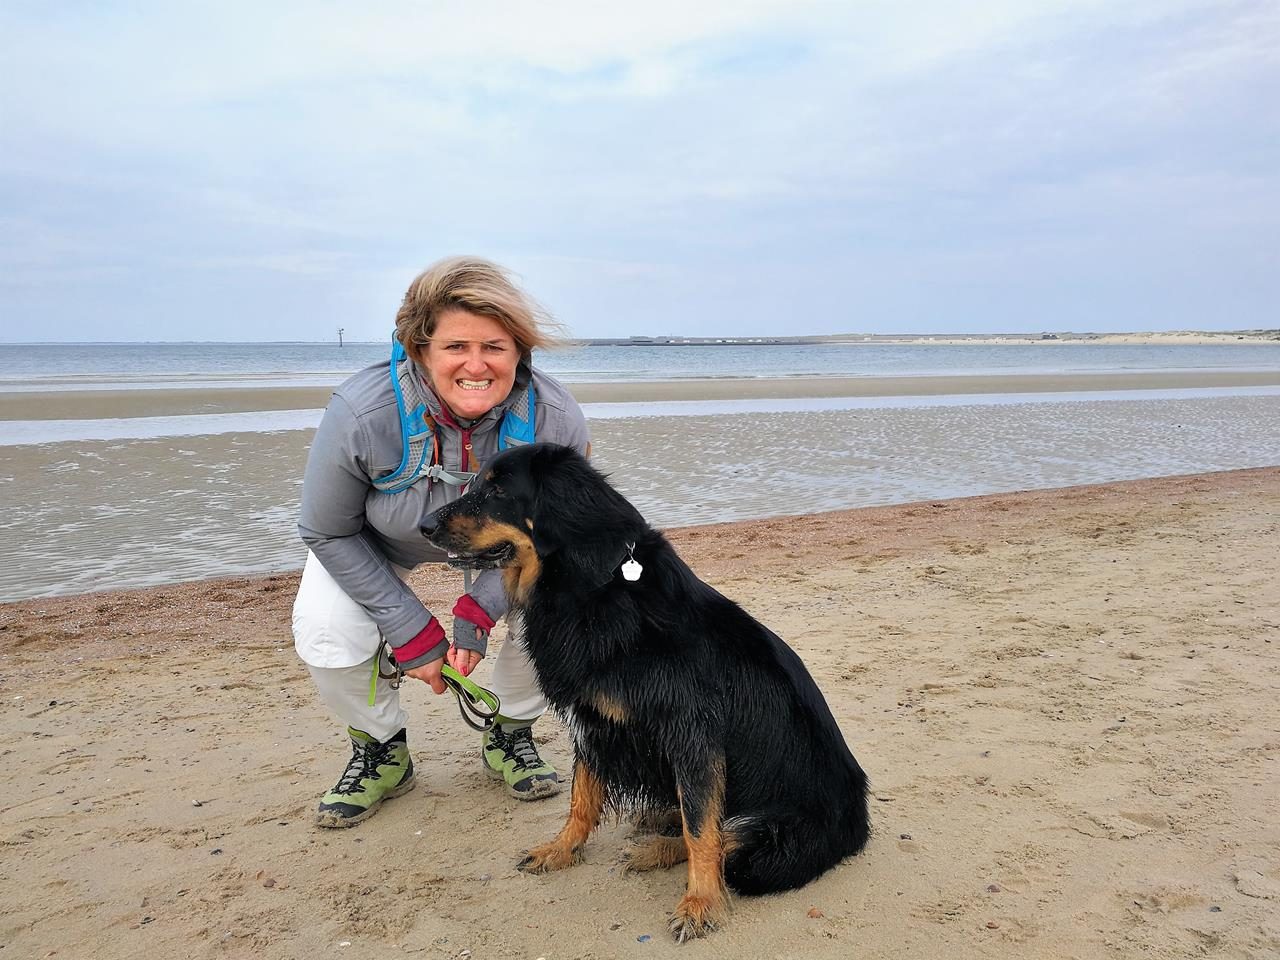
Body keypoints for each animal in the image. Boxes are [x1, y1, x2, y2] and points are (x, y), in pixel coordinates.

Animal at [424, 448, 875, 942]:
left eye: (499, 491)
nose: (424, 525)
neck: (591, 585)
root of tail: (859, 819)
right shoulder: (594, 721)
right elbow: (582, 799)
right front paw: (562, 850)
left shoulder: (691, 734)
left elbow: (702, 830)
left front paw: (700, 904)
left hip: (778, 841)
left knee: (729, 836)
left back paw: (657, 848)